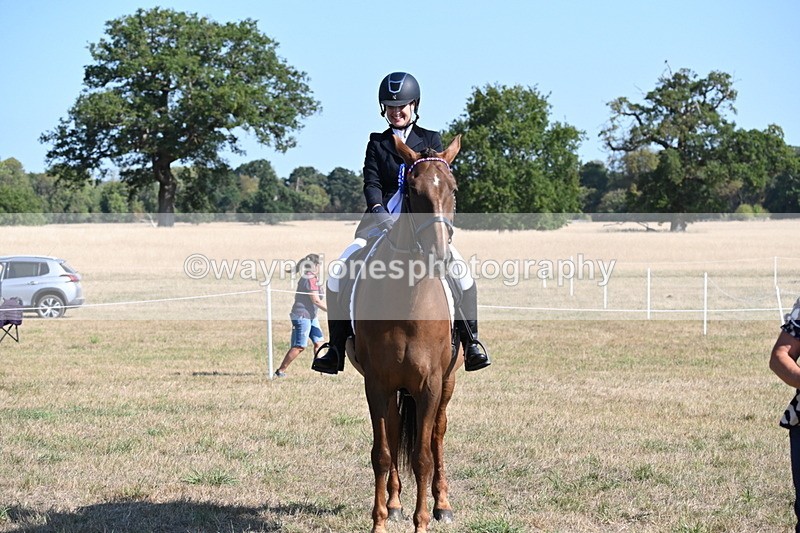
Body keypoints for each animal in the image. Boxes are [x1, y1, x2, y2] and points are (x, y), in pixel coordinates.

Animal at [350, 134, 463, 533]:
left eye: (453, 189)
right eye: (412, 190)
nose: (440, 256)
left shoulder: (430, 384)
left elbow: (423, 457)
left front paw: (423, 521)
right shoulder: (377, 383)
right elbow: (383, 454)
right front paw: (380, 522)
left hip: (447, 383)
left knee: (438, 435)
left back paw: (442, 503)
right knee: (398, 430)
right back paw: (396, 503)